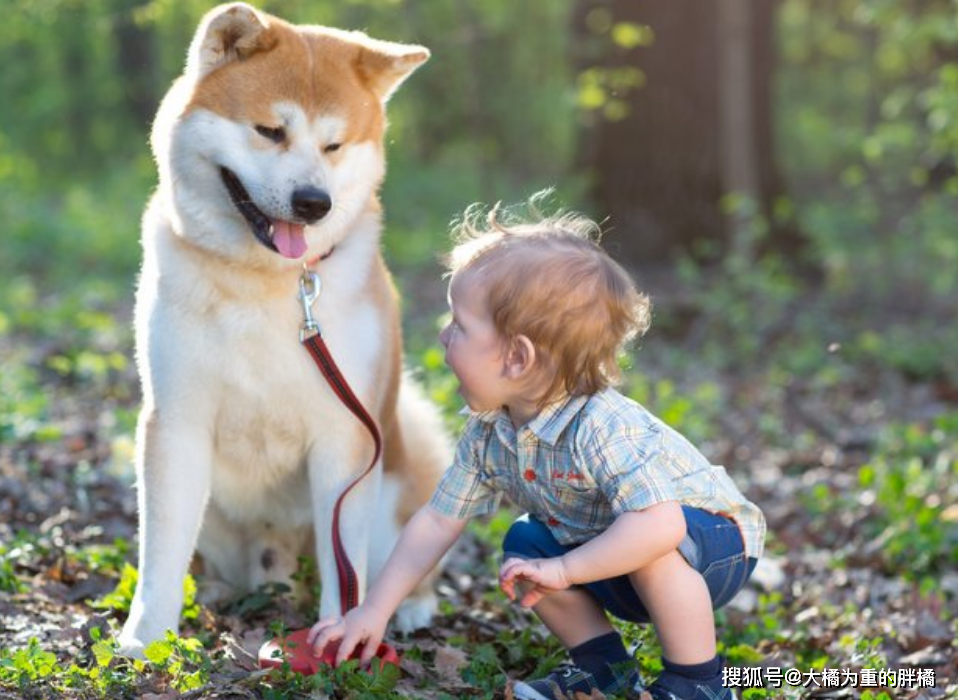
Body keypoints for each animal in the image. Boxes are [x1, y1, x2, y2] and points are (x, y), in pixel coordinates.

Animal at [118, 1, 452, 656]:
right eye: (271, 131)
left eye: (334, 144)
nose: (313, 202)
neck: (265, 283)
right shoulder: (175, 423)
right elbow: (161, 553)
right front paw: (147, 641)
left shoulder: (346, 437)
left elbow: (345, 569)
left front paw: (342, 639)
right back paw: (218, 593)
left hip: (398, 474)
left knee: (399, 568)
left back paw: (407, 610)